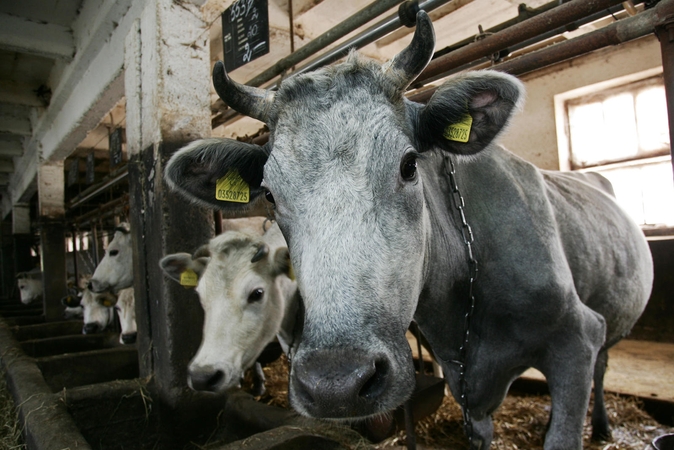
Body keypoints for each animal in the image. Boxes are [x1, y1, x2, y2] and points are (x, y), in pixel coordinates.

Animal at [163, 11, 652, 450]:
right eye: (268, 191)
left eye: (409, 164)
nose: (336, 384)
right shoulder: (466, 387)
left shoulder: (577, 335)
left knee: (604, 365)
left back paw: (603, 427)